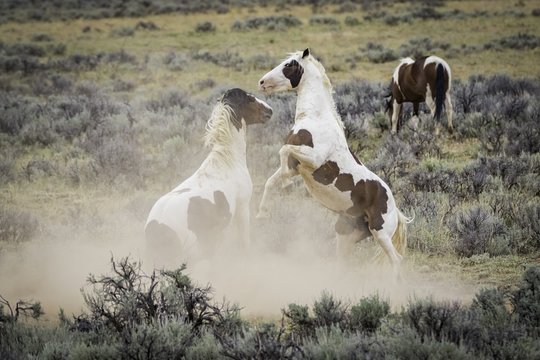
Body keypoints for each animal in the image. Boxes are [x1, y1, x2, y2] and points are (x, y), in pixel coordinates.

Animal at [146, 88, 272, 260]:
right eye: (250, 99)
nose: (269, 110)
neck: (228, 161)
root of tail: (156, 227)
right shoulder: (242, 207)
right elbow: (244, 242)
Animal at [258, 49, 410, 278]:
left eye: (289, 64)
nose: (262, 82)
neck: (315, 118)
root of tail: (395, 208)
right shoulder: (296, 166)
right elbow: (271, 179)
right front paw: (261, 213)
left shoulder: (313, 159)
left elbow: (283, 151)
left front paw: (286, 185)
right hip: (346, 235)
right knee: (344, 263)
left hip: (381, 234)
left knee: (397, 260)